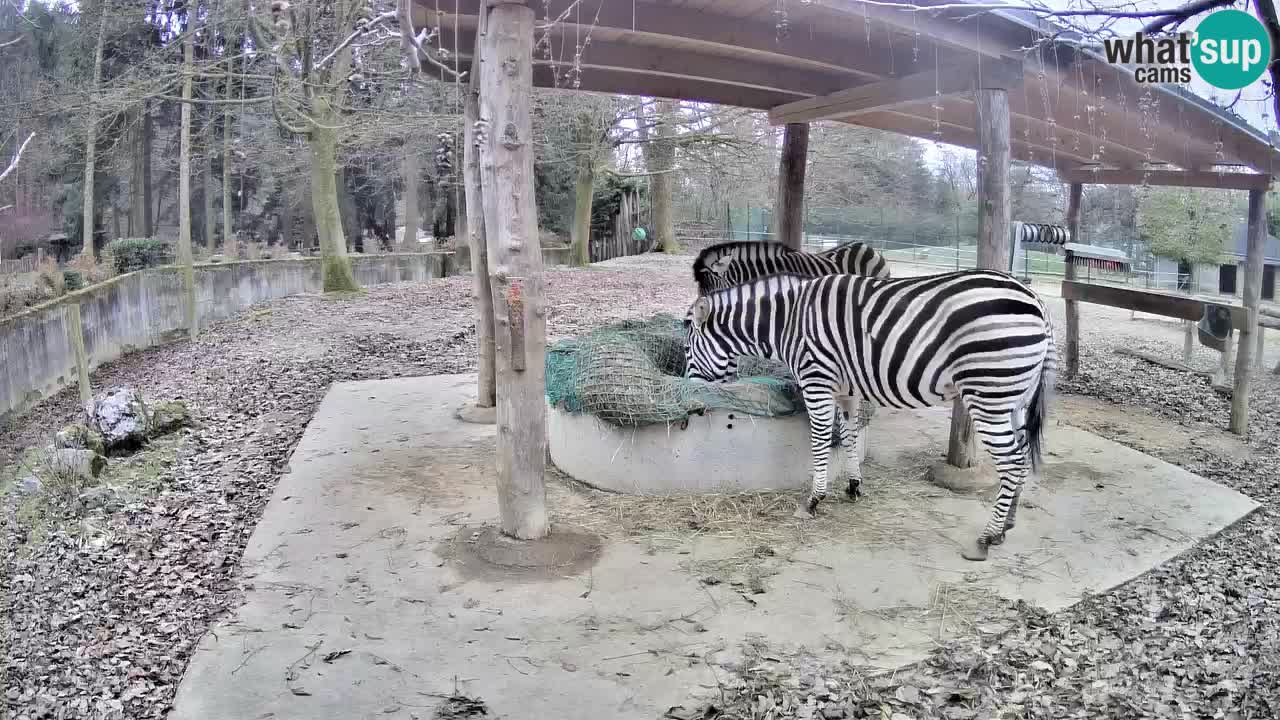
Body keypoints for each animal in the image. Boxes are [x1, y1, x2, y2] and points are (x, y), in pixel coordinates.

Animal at [686, 269, 1054, 561]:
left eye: (688, 349)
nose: (690, 396)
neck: (788, 321)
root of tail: (1035, 300)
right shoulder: (845, 389)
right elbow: (848, 437)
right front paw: (853, 486)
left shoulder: (816, 380)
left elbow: (820, 439)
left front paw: (813, 500)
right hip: (1013, 399)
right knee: (1021, 454)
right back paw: (1006, 526)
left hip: (987, 393)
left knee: (1011, 461)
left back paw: (986, 538)